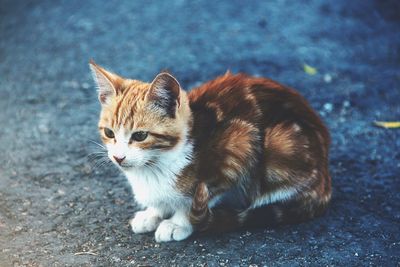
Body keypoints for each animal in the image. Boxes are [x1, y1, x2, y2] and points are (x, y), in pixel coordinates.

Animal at [90, 60, 332, 243]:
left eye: (140, 136)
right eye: (109, 133)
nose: (118, 157)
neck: (156, 166)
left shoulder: (237, 149)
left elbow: (198, 199)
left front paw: (177, 223)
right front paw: (153, 213)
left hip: (281, 144)